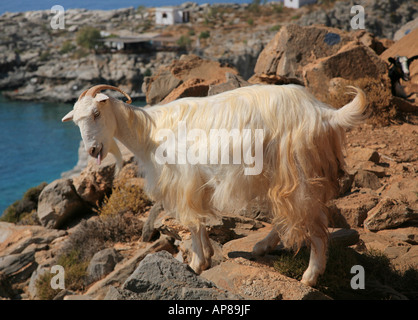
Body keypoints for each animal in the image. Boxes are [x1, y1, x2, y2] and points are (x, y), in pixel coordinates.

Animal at [61, 84, 366, 286]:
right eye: (76, 121)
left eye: (96, 113)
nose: (92, 150)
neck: (149, 131)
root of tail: (323, 113)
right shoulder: (198, 184)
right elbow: (201, 222)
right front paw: (206, 254)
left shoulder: (183, 181)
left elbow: (192, 221)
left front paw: (197, 263)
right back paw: (262, 247)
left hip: (295, 171)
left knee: (314, 222)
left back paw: (310, 276)